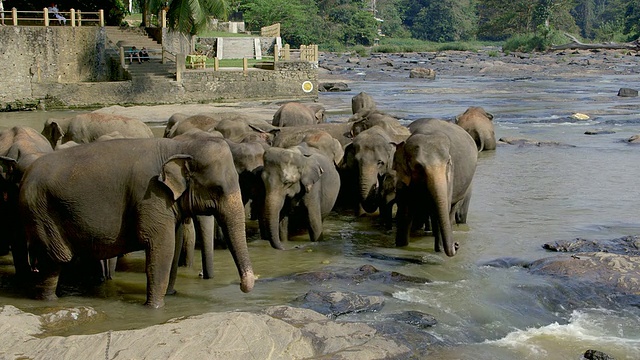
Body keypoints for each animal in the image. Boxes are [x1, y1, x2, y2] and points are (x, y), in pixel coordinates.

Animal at [16, 136, 255, 308]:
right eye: (217, 189)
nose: (245, 287)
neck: (178, 145)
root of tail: (25, 176)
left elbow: (175, 244)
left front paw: (171, 294)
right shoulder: (150, 196)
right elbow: (162, 247)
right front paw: (155, 307)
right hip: (42, 214)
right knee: (54, 261)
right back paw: (49, 302)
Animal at [392, 118, 478, 256]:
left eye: (448, 162)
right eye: (418, 167)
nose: (457, 244)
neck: (427, 132)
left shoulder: (450, 176)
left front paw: (440, 250)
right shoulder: (403, 177)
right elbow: (406, 207)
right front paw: (401, 246)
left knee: (451, 210)